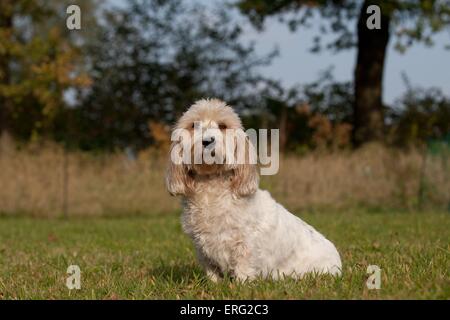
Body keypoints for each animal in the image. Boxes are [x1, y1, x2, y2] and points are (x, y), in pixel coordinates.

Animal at [165, 99, 342, 282]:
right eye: (194, 125)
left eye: (223, 125)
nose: (207, 141)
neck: (211, 185)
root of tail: (338, 261)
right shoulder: (203, 248)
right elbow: (212, 272)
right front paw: (215, 284)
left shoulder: (245, 244)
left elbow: (243, 268)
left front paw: (241, 284)